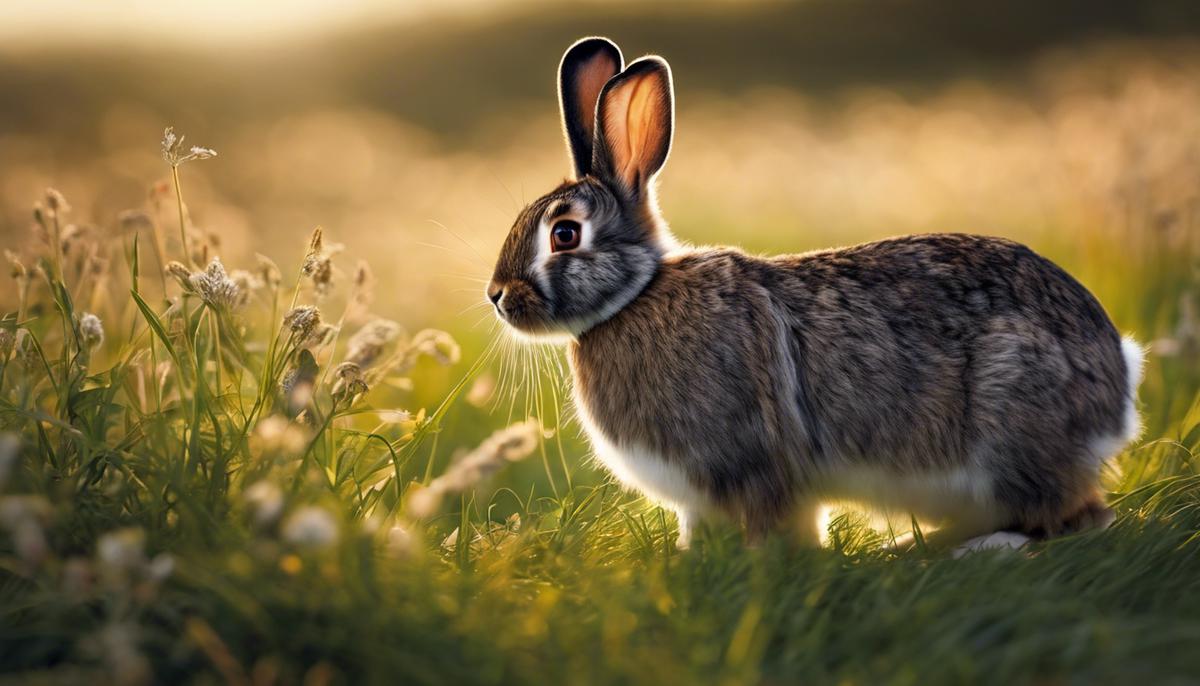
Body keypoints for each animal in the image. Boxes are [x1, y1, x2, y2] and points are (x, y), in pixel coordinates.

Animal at [484, 37, 1142, 551]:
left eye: (564, 235)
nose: (496, 296)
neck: (636, 295)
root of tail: (1118, 375)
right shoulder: (699, 500)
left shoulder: (757, 471)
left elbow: (777, 530)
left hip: (1010, 421)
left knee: (1072, 515)